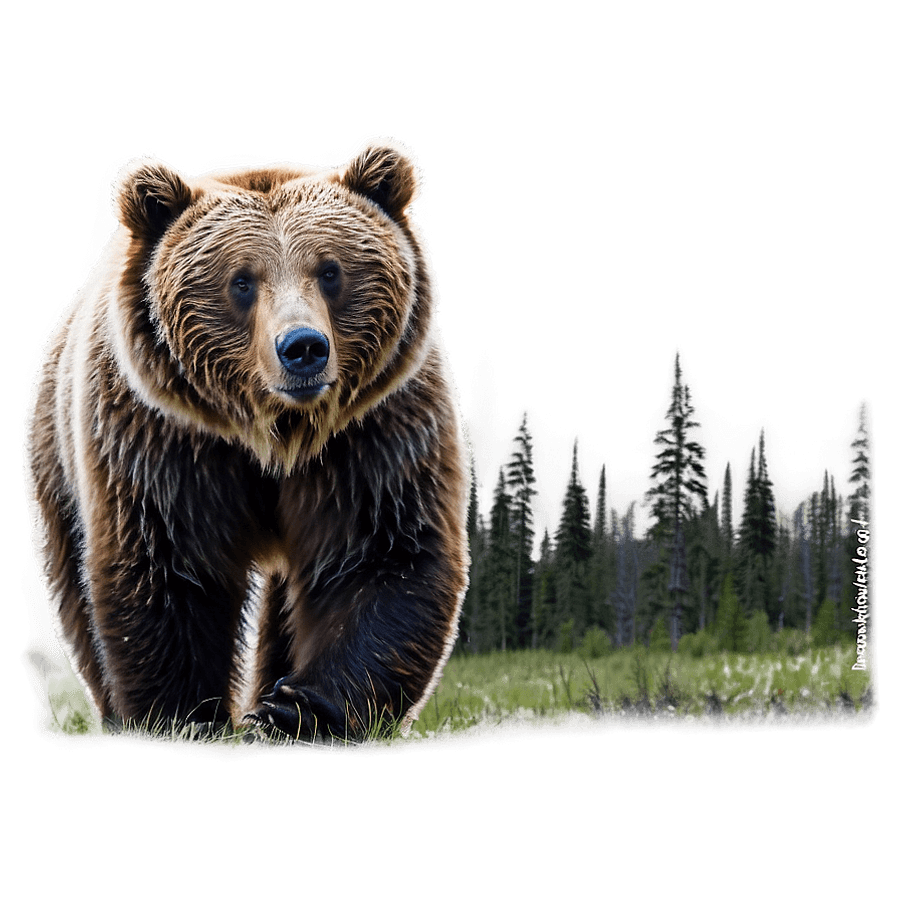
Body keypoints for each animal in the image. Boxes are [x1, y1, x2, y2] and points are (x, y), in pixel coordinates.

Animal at [22, 137, 470, 742]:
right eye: (241, 280)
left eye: (330, 271)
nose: (303, 347)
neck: (276, 434)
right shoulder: (166, 441)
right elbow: (170, 565)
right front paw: (184, 715)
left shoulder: (372, 432)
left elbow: (378, 553)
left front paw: (296, 711)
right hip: (58, 455)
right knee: (75, 583)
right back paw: (114, 712)